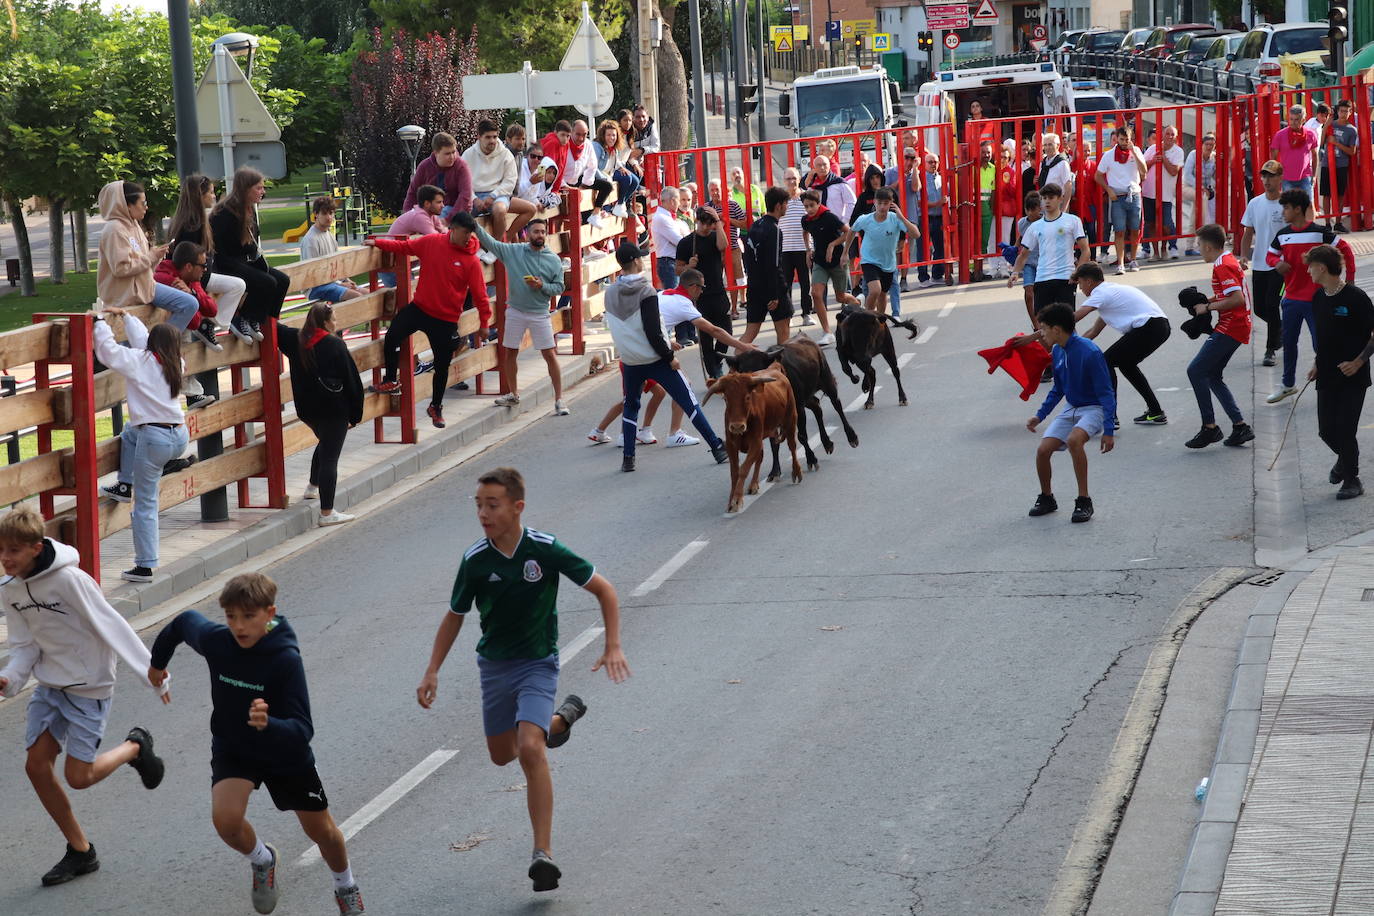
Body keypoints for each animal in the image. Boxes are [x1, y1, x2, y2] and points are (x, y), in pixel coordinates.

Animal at [708, 362, 802, 513]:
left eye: (747, 397)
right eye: (725, 399)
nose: (737, 426)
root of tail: (774, 368)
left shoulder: (755, 442)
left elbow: (743, 469)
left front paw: (737, 500)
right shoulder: (731, 445)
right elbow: (735, 472)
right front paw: (731, 500)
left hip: (791, 419)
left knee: (792, 446)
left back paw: (797, 471)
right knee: (761, 456)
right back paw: (753, 484)